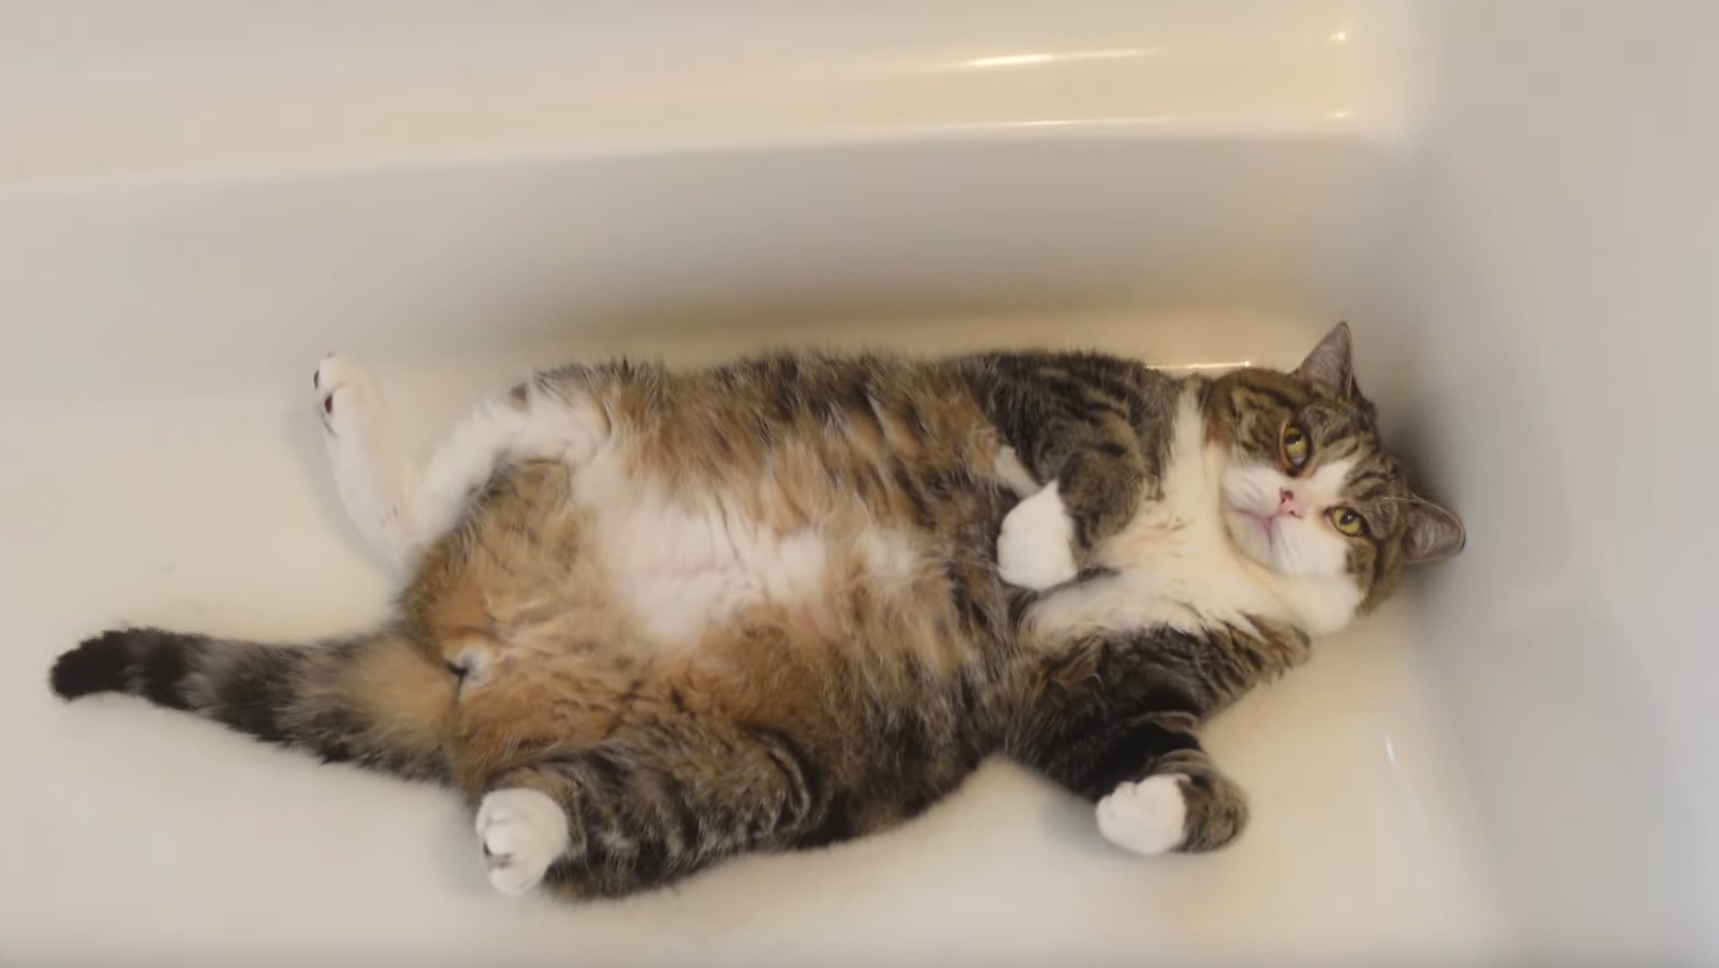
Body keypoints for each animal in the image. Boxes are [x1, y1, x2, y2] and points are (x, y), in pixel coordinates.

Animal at [47, 323, 1457, 900]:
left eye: (1355, 523)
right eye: (1291, 433)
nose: (1292, 497)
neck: (1206, 541)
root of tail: (473, 662)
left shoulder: (1108, 688)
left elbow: (1172, 775)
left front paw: (1146, 808)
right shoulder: (1061, 384)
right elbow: (1095, 461)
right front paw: (1042, 535)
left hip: (772, 769)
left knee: (631, 804)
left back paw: (527, 827)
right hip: (582, 408)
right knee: (428, 505)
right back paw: (361, 420)